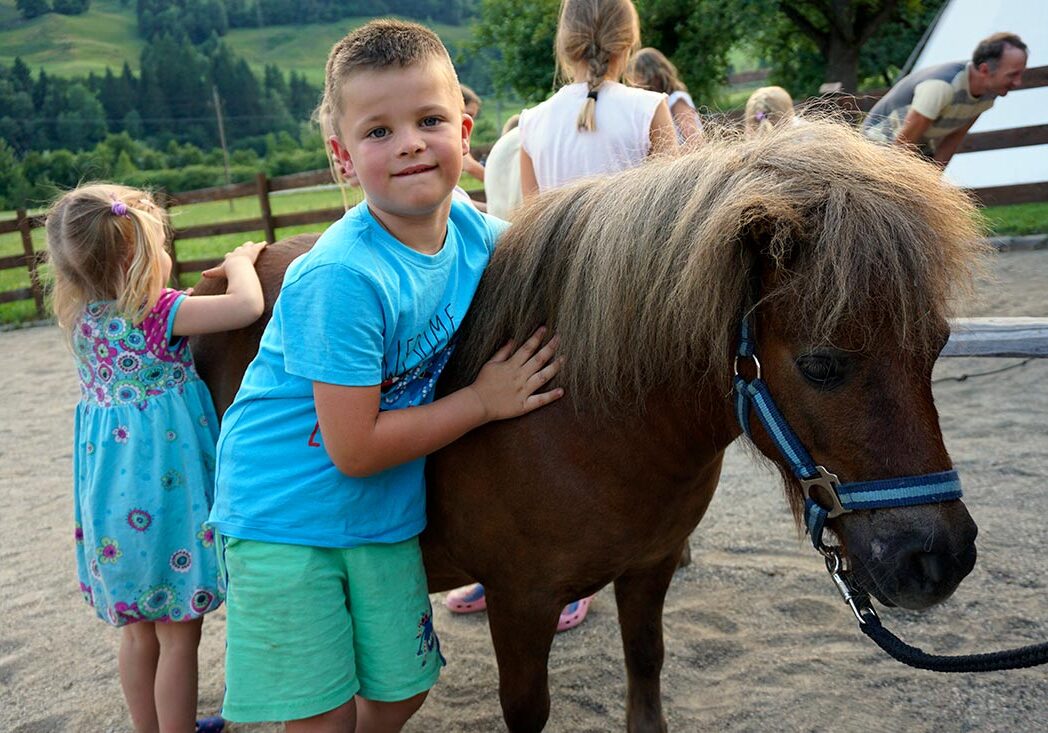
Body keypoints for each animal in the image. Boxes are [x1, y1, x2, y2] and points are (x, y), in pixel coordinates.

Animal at [190, 121, 989, 733]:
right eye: (823, 364)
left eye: (938, 345)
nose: (939, 558)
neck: (588, 421)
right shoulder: (520, 601)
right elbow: (527, 708)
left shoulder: (649, 569)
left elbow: (646, 670)